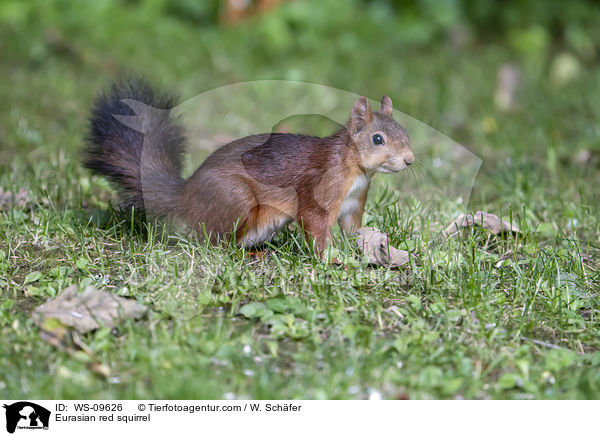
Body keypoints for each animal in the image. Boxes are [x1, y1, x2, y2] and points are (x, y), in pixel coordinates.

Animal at [83, 79, 412, 255]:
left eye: (405, 132)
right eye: (378, 139)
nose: (409, 160)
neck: (355, 168)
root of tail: (185, 196)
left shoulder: (353, 202)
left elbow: (353, 227)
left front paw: (368, 246)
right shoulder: (320, 190)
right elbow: (316, 224)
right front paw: (332, 258)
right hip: (235, 198)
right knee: (215, 244)